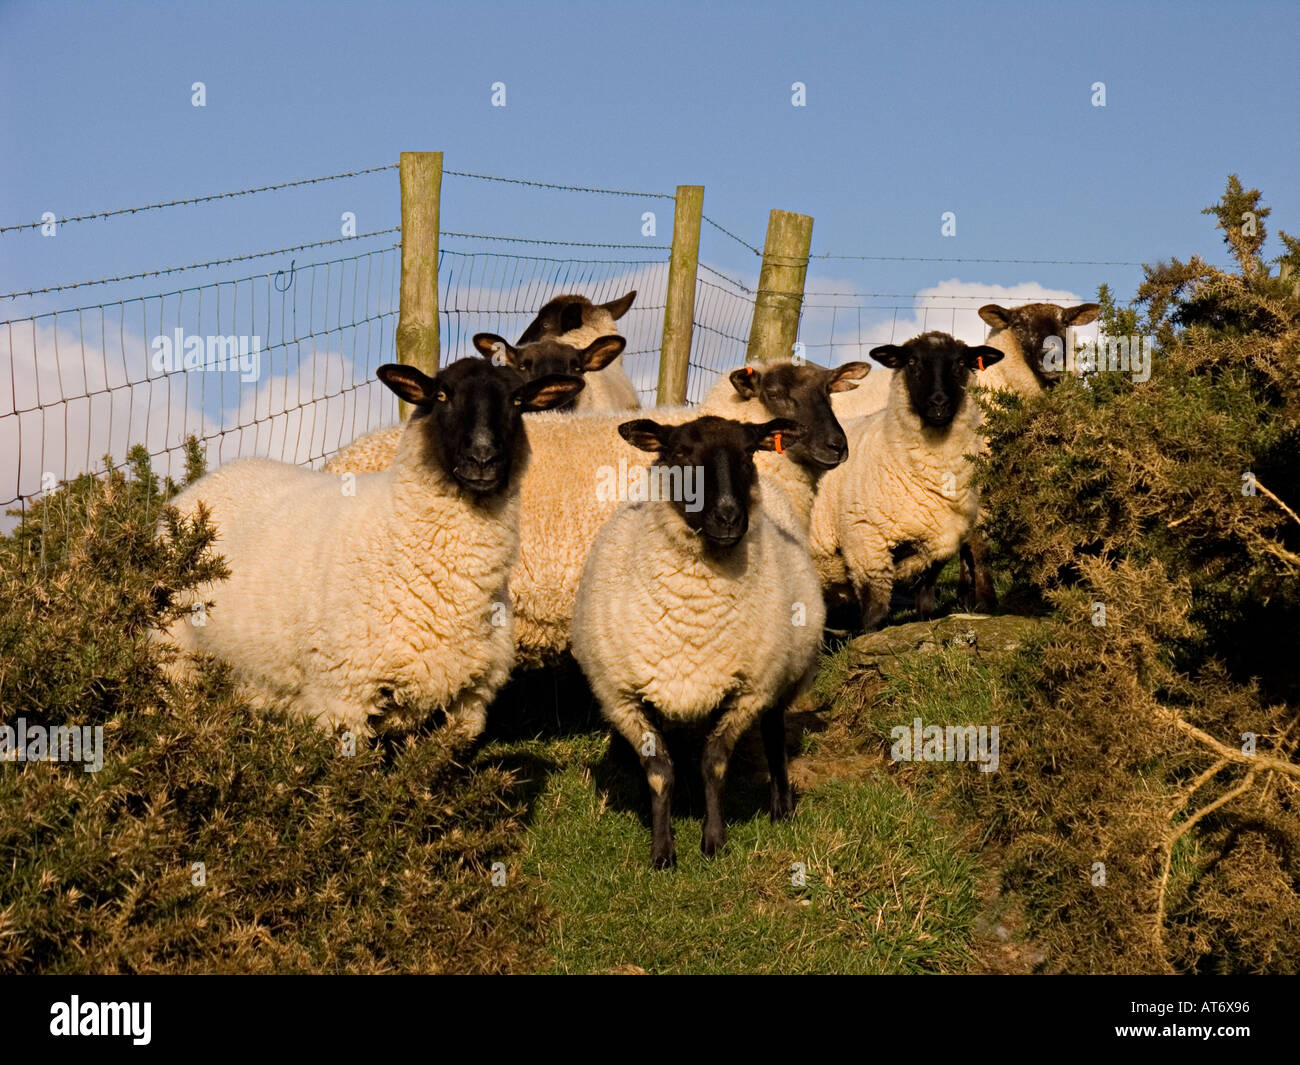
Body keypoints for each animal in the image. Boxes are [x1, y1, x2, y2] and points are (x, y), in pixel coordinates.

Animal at [154, 358, 582, 743]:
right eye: (441, 396)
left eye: (517, 401)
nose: (482, 459)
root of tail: (214, 477)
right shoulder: (343, 699)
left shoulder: (469, 703)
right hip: (174, 660)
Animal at [572, 413, 821, 868]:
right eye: (680, 453)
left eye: (748, 453)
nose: (728, 517)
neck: (693, 613)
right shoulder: (623, 697)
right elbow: (659, 772)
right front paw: (662, 850)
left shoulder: (749, 690)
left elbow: (714, 764)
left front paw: (714, 840)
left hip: (779, 675)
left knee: (774, 735)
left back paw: (780, 806)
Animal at [811, 332, 1003, 631]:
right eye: (912, 362)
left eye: (961, 363)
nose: (939, 403)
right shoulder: (866, 542)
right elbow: (876, 612)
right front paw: (870, 636)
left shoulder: (939, 543)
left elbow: (926, 604)